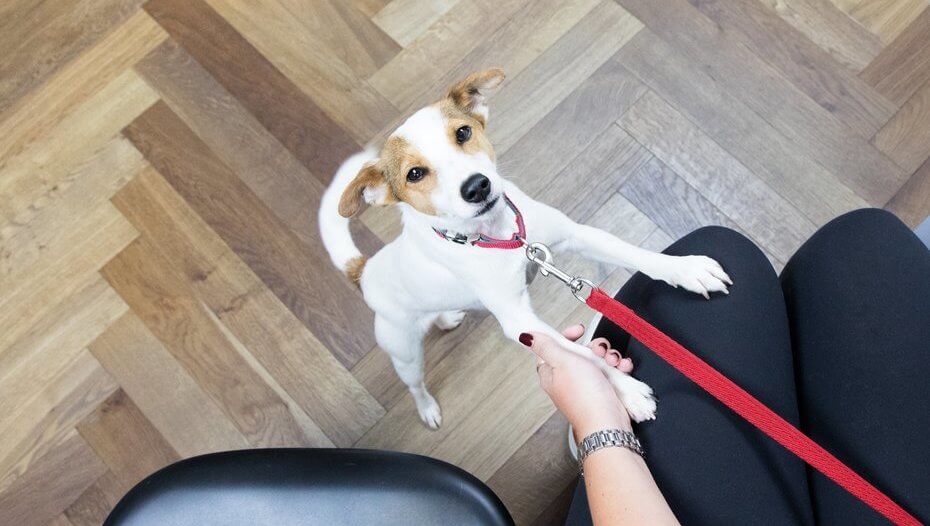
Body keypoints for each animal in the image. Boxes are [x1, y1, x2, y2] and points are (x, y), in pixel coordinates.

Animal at [322, 69, 728, 428]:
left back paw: (446, 317)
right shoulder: (520, 321)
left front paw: (688, 269)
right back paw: (427, 408)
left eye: (463, 132)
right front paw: (626, 392)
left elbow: (633, 253)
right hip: (403, 349)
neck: (503, 238)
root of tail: (364, 270)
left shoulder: (574, 234)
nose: (477, 187)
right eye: (415, 174)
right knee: (415, 385)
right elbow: (583, 355)